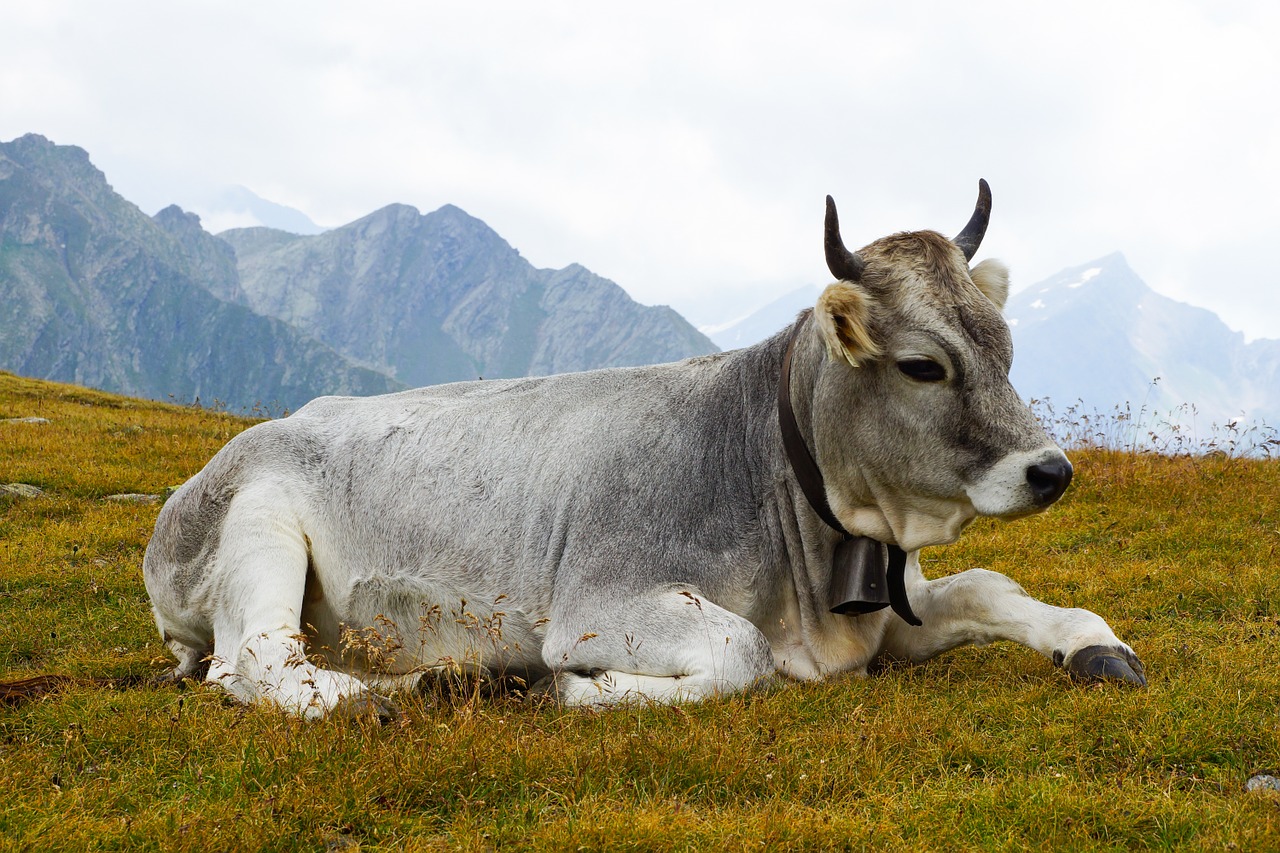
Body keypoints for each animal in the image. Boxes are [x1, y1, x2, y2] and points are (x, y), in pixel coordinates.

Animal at [145, 183, 1146, 712]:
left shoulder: (885, 615)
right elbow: (741, 653)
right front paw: (584, 689)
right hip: (257, 525)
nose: (1051, 470)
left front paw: (1094, 642)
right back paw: (386, 694)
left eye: (1005, 347)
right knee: (255, 658)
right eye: (922, 366)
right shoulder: (602, 597)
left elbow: (990, 587)